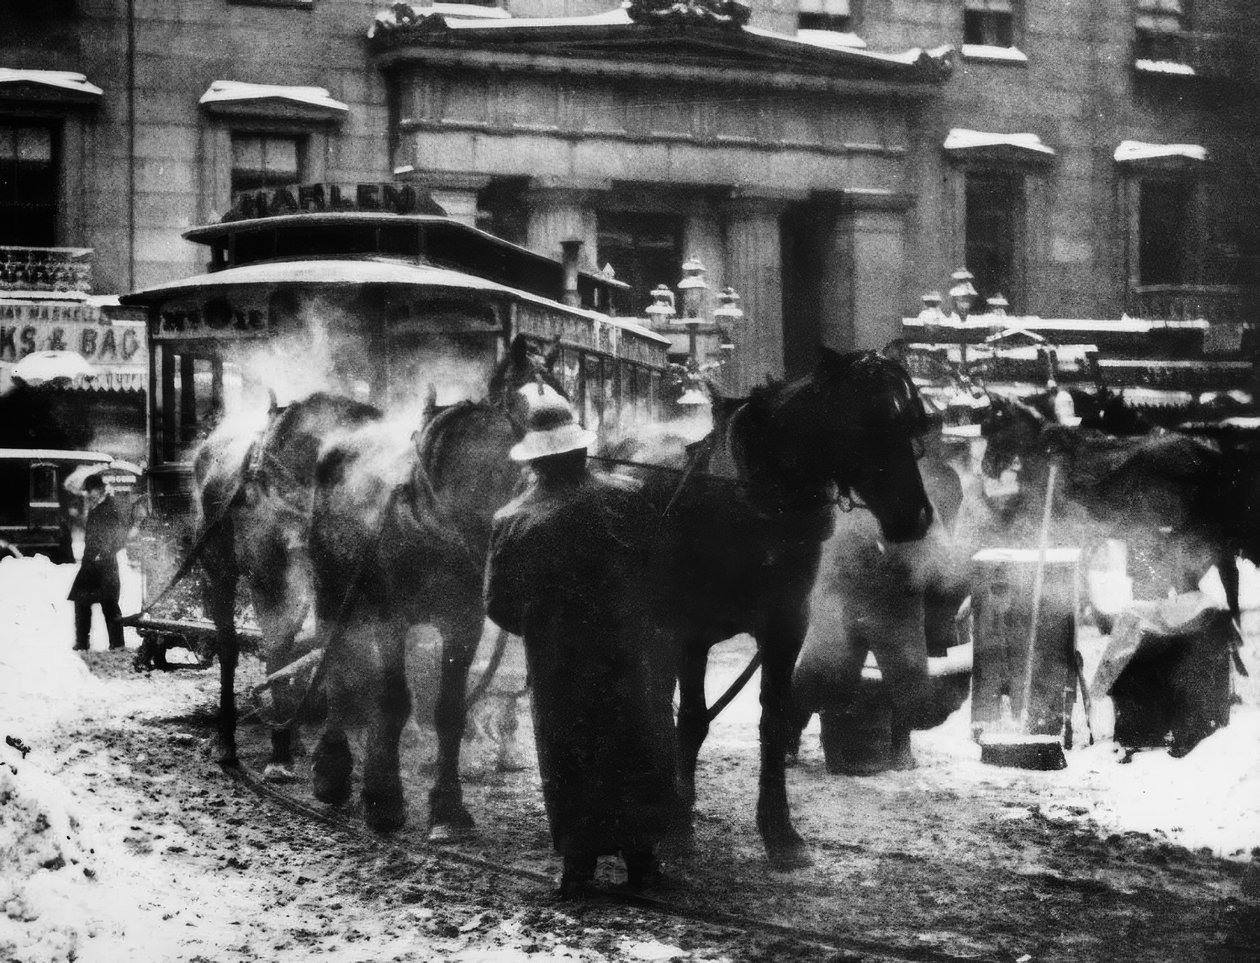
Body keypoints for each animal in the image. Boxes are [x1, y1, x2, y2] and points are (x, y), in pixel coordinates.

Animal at [302, 337, 554, 836]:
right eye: (537, 418)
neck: (438, 512)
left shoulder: (463, 623)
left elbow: (449, 710)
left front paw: (448, 806)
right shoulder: (391, 618)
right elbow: (393, 701)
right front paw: (383, 799)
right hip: (332, 587)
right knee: (336, 664)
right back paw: (333, 768)